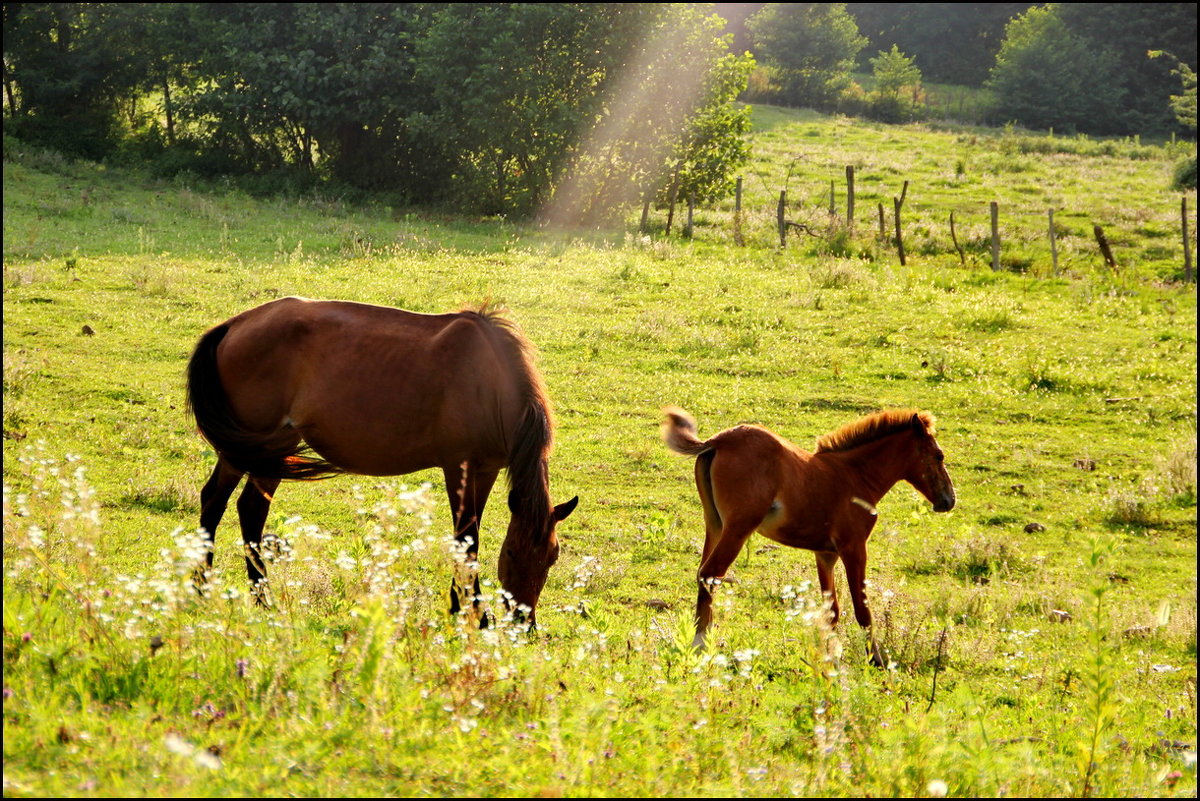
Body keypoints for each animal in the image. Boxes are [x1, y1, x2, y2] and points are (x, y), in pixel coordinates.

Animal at [186, 297, 576, 623]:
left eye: (552, 557)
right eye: (510, 554)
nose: (524, 622)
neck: (489, 383)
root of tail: (233, 325)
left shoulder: (487, 468)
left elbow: (468, 537)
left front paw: (459, 606)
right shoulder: (458, 466)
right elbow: (465, 539)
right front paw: (476, 615)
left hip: (270, 450)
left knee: (246, 507)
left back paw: (251, 598)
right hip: (252, 448)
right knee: (218, 502)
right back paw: (210, 591)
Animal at [662, 407, 950, 661]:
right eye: (939, 455)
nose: (948, 500)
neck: (855, 475)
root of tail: (718, 441)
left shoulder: (825, 555)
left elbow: (831, 610)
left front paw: (831, 657)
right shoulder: (854, 549)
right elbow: (862, 611)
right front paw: (875, 660)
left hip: (715, 525)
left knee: (703, 573)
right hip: (738, 528)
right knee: (711, 574)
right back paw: (701, 643)